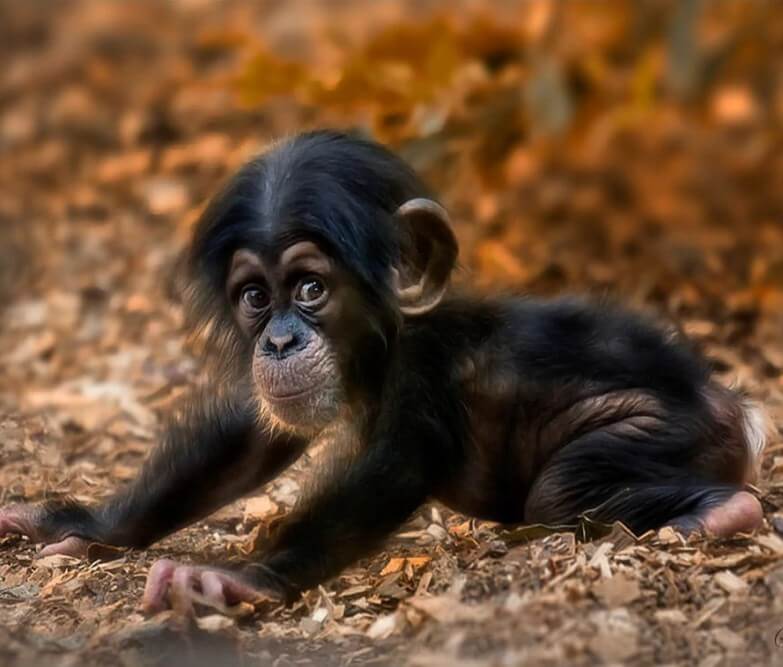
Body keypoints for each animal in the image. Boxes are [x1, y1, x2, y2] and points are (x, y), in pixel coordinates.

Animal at [0, 130, 769, 614]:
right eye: (255, 297)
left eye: (310, 286)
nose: (279, 340)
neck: (385, 341)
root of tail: (739, 409)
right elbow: (251, 439)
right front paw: (83, 523)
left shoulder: (420, 377)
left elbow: (392, 470)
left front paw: (236, 580)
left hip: (663, 428)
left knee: (562, 488)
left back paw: (718, 511)